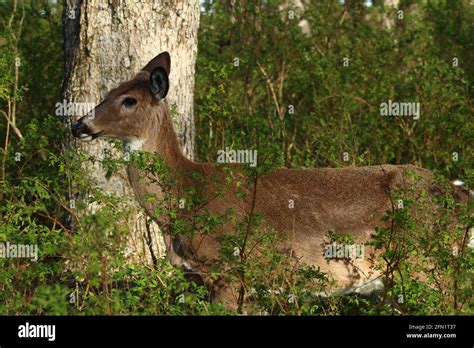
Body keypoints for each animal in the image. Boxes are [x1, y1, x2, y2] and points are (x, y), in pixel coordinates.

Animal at [72, 52, 472, 310]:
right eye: (107, 91)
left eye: (129, 100)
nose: (79, 124)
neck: (187, 196)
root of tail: (461, 194)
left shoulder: (230, 272)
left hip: (425, 266)